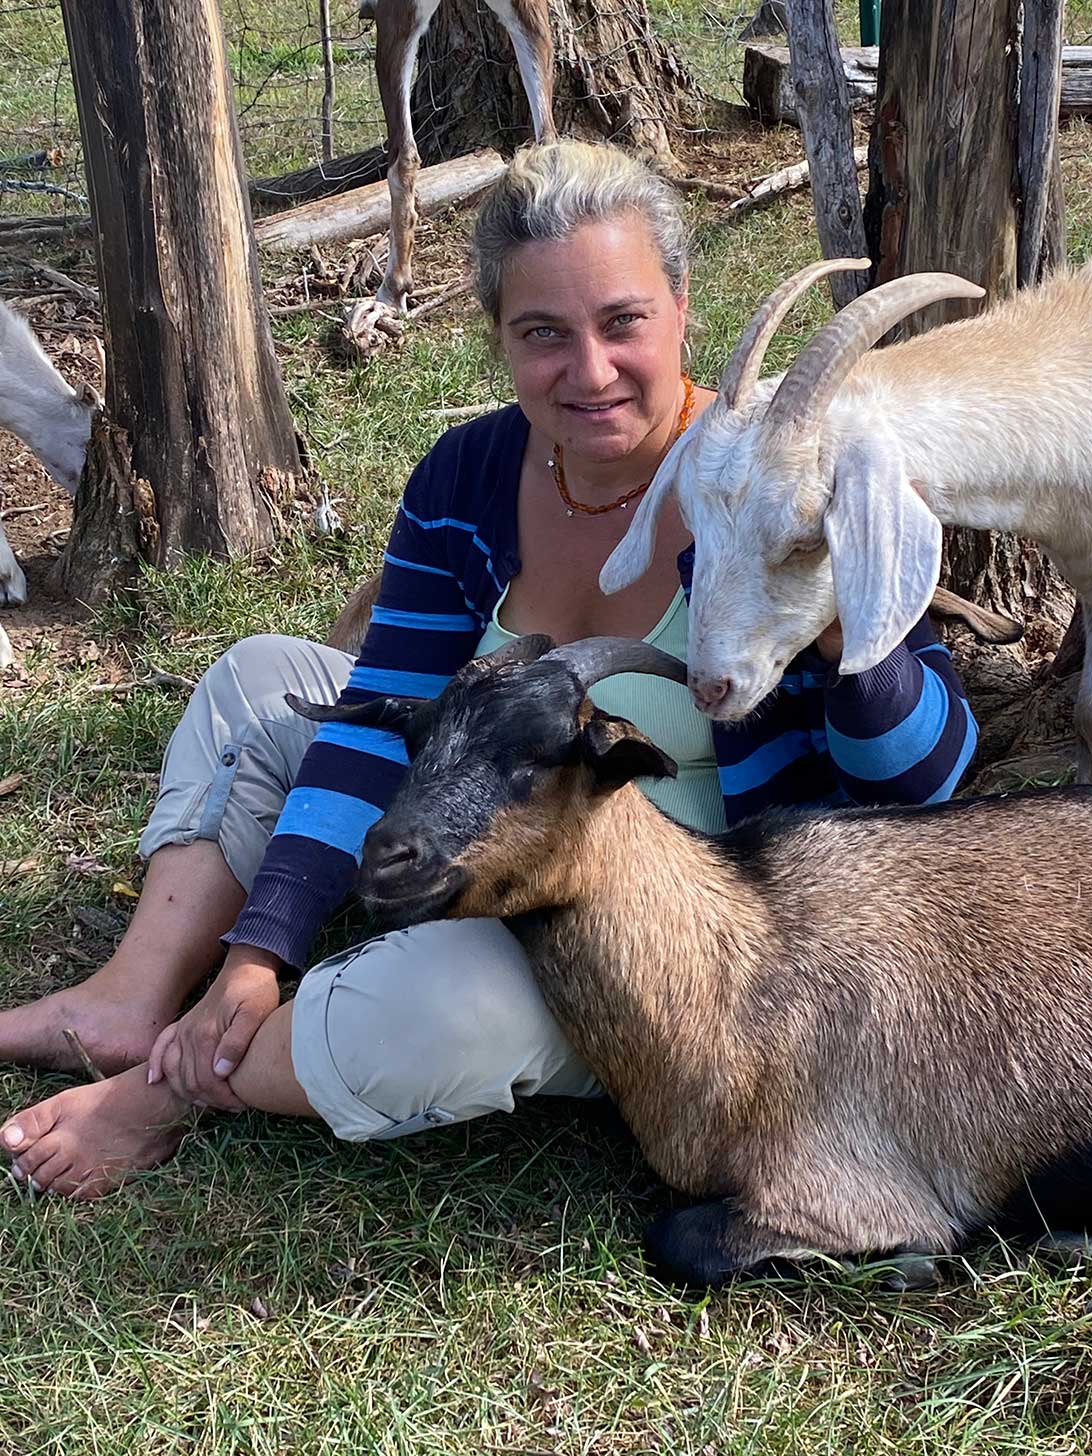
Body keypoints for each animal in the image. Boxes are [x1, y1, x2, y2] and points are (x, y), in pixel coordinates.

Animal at [286, 637, 1089, 1287]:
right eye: (416, 740)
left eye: (541, 754)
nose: (385, 859)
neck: (738, 968)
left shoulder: (850, 1183)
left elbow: (680, 1240)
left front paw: (913, 1265)